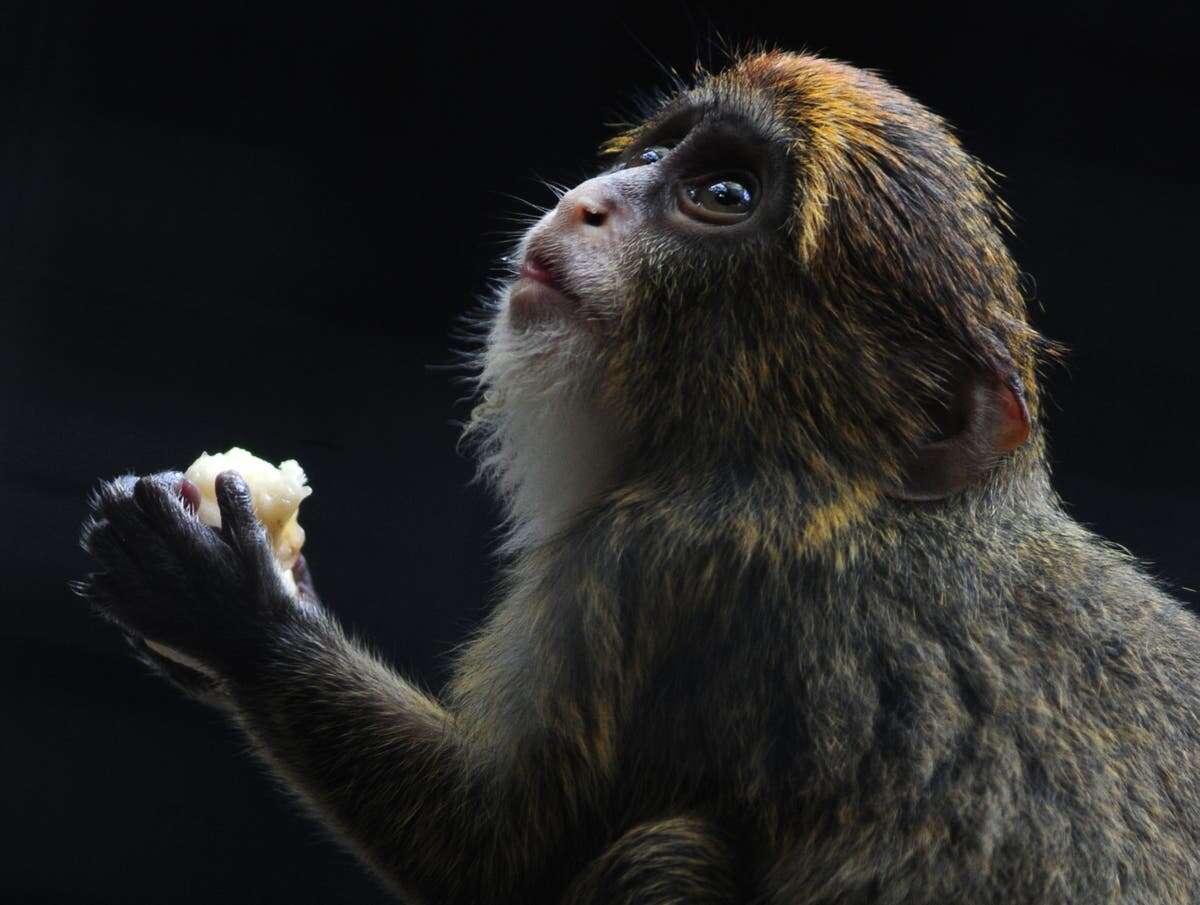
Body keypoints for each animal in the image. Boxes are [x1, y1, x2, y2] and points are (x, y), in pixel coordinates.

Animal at [77, 51, 1200, 902]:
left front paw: (237, 612)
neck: (851, 483)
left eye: (723, 195)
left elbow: (489, 848)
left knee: (668, 848)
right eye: (660, 153)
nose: (587, 203)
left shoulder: (667, 555)